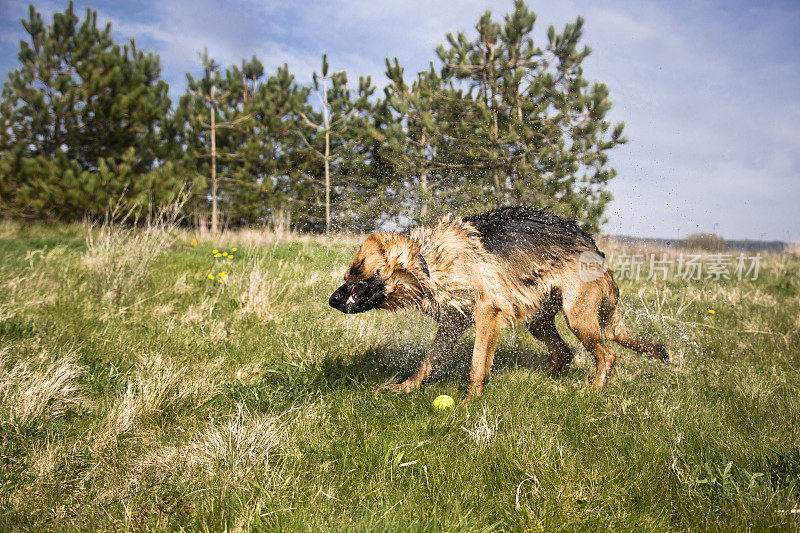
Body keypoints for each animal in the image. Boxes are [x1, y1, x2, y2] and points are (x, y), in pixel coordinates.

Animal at [328, 206, 664, 402]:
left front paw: (469, 403)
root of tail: (593, 245)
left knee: (607, 354)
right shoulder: (452, 324)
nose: (331, 300)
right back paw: (535, 380)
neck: (426, 260)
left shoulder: (487, 315)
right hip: (539, 321)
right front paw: (407, 387)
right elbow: (428, 361)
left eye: (356, 272)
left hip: (578, 316)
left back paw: (592, 389)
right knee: (565, 352)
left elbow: (477, 366)